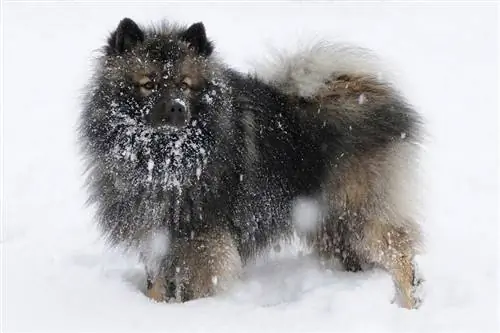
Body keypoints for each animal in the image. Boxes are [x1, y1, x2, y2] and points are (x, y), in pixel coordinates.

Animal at [79, 17, 426, 308]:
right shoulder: (154, 233)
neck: (164, 158)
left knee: (401, 256)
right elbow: (156, 284)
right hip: (329, 223)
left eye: (185, 85)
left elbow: (196, 285)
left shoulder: (202, 239)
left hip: (361, 213)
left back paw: (409, 304)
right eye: (149, 84)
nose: (177, 108)